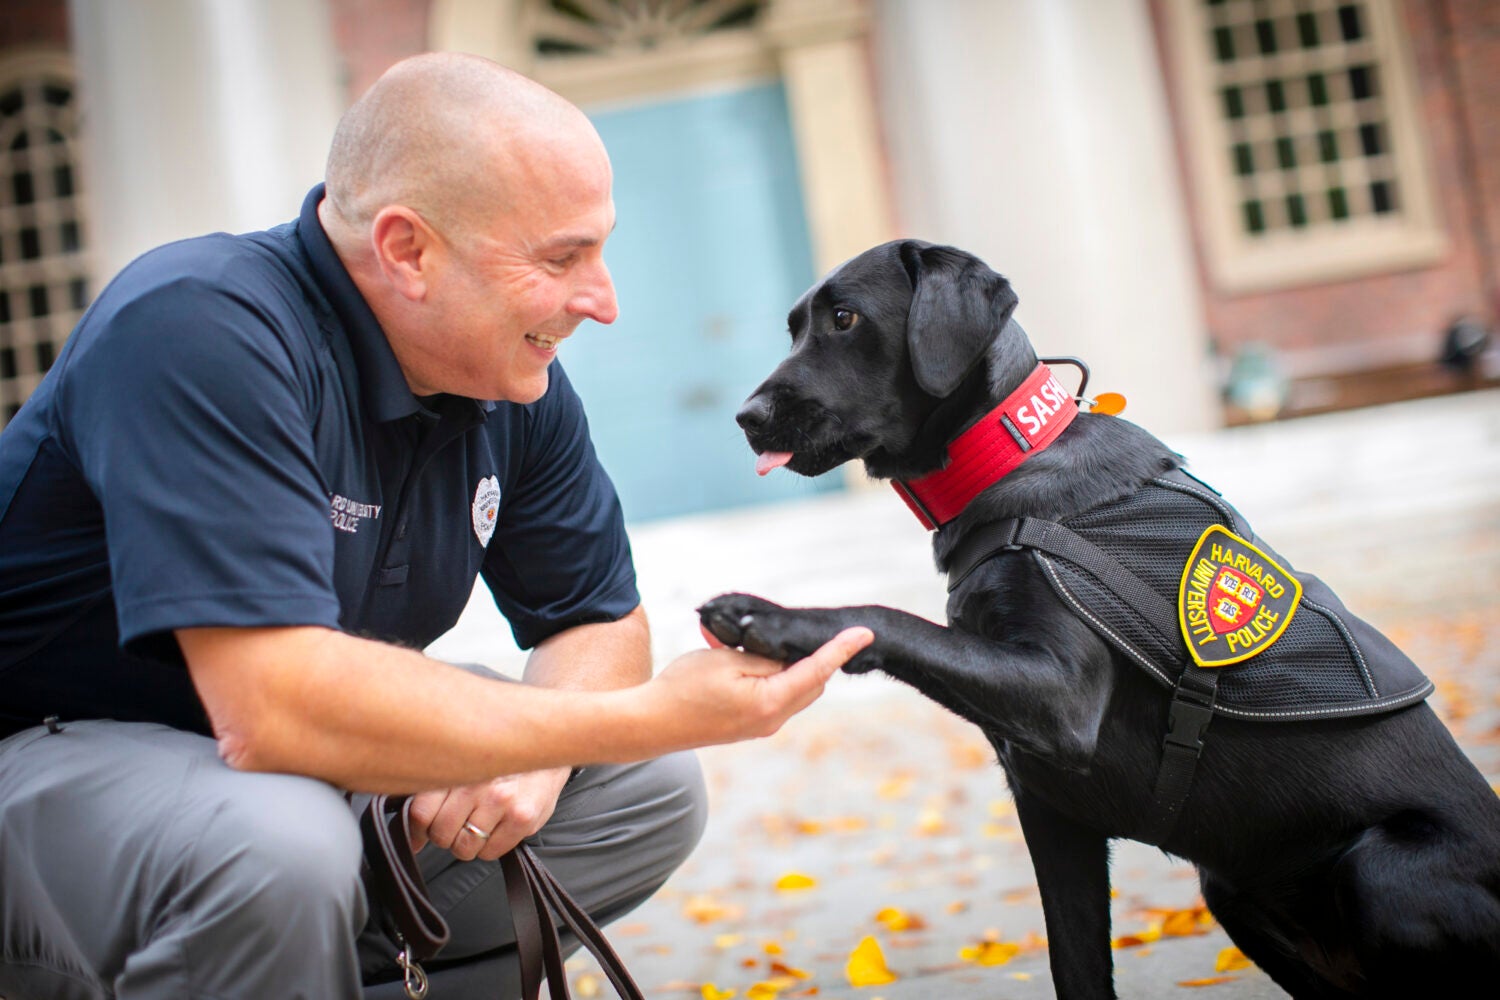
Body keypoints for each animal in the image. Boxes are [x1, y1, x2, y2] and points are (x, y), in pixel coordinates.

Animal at [702, 242, 1500, 1000]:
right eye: (795, 327)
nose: (745, 419)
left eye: (845, 319)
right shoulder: (1053, 814)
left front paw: (774, 619)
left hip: (1378, 866)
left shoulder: (1061, 700)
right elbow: (1077, 967)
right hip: (1233, 891)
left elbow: (889, 617)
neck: (1006, 459)